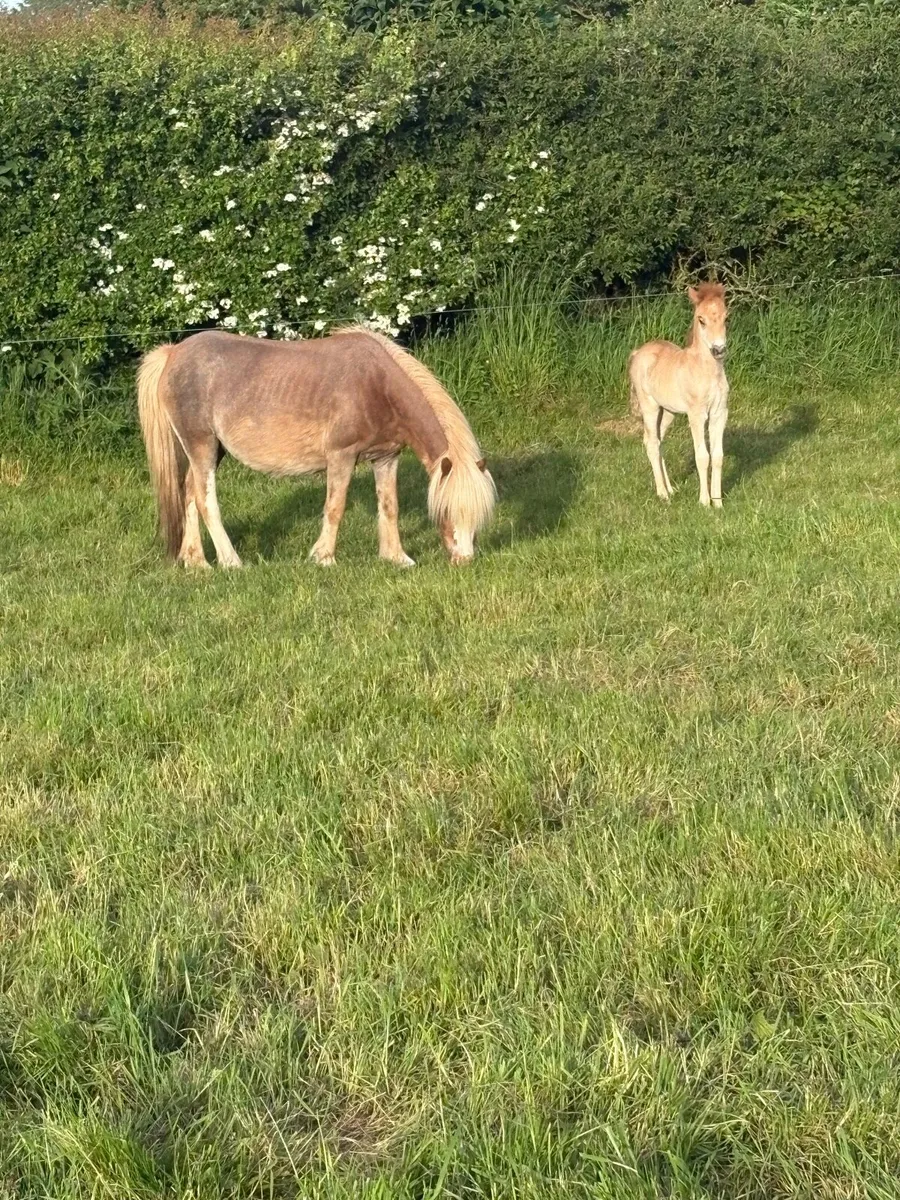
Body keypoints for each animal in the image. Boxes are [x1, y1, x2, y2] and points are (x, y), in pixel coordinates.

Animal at [137, 326, 497, 568]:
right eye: (446, 510)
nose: (464, 560)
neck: (378, 385)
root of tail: (173, 353)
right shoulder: (342, 456)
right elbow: (335, 507)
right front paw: (324, 558)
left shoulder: (386, 457)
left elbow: (389, 507)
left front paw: (397, 558)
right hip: (202, 445)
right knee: (205, 499)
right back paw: (231, 562)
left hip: (210, 450)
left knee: (189, 493)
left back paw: (196, 562)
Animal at [627, 283, 730, 508]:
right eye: (701, 319)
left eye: (727, 317)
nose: (718, 349)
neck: (707, 371)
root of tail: (638, 352)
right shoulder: (696, 415)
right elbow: (702, 456)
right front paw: (704, 502)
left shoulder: (719, 413)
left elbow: (718, 456)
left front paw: (718, 503)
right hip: (649, 407)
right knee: (652, 443)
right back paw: (662, 494)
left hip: (668, 412)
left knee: (657, 441)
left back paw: (671, 489)